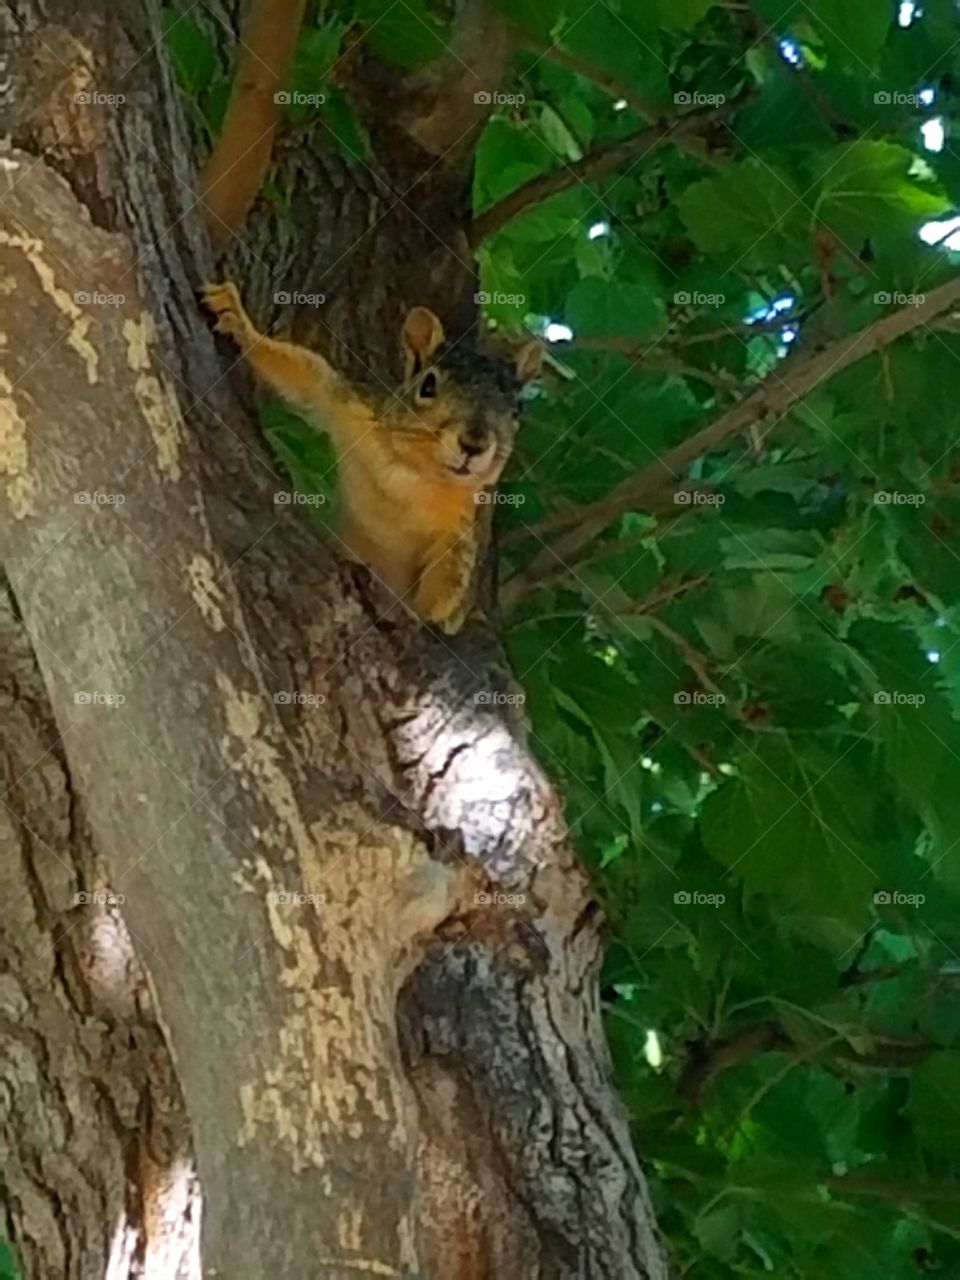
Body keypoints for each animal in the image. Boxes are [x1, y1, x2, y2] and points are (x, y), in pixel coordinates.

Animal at [201, 282, 541, 632]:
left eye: (517, 408)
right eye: (428, 385)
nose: (474, 444)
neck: (414, 476)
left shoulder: (462, 528)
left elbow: (450, 581)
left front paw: (424, 618)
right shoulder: (348, 408)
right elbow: (307, 374)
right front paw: (239, 320)